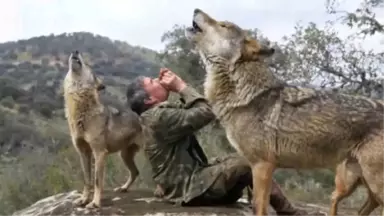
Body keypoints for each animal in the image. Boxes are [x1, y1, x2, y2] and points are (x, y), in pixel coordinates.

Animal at [63, 50, 148, 209]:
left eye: (88, 66)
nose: (75, 51)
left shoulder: (99, 153)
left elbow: (97, 181)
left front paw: (95, 203)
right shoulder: (83, 153)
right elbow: (87, 180)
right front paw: (83, 200)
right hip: (124, 155)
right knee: (135, 172)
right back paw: (123, 188)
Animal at [184, 7, 384, 216]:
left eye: (224, 25)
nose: (196, 9)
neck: (245, 94)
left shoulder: (262, 165)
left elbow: (259, 207)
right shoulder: (261, 166)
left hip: (371, 184)